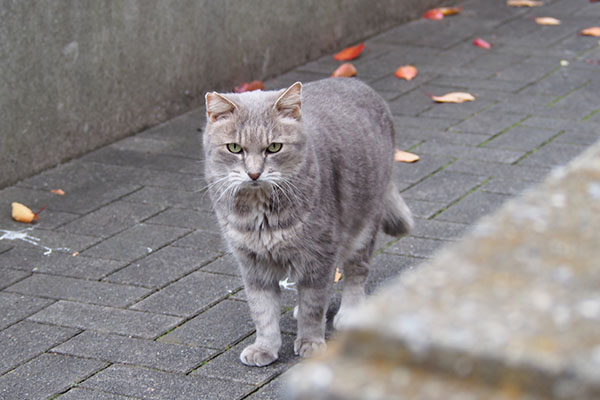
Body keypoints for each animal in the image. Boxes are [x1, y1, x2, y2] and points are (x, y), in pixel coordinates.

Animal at [203, 77, 412, 366]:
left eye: (274, 147)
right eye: (234, 148)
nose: (254, 173)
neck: (261, 214)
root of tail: (356, 82)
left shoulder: (319, 254)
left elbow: (313, 305)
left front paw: (311, 342)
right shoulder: (253, 265)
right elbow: (263, 311)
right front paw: (264, 347)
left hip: (362, 228)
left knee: (356, 273)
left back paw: (350, 312)